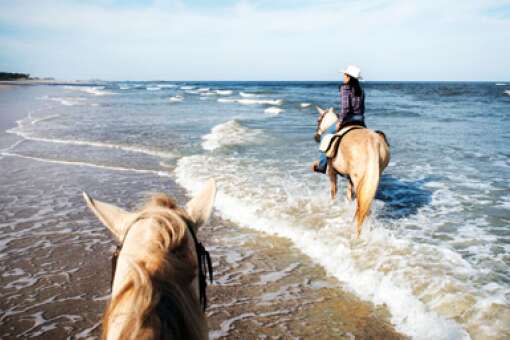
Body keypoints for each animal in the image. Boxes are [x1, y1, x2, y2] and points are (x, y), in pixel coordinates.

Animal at [314, 107, 390, 238]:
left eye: (318, 120)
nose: (316, 136)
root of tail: (373, 144)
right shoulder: (349, 178)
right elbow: (349, 196)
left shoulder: (331, 172)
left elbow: (333, 191)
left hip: (358, 180)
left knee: (361, 207)